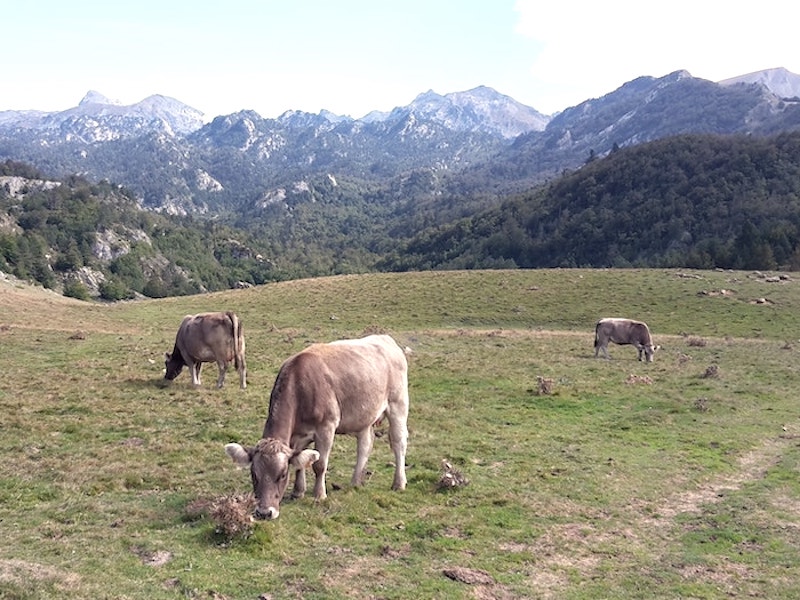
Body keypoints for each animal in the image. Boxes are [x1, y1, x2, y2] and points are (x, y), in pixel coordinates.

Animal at [227, 332, 410, 520]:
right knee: (365, 446)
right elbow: (301, 462)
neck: (300, 385)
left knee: (398, 443)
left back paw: (399, 483)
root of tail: (385, 338)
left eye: (283, 474)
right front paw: (298, 492)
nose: (264, 512)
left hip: (398, 404)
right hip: (364, 415)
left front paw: (319, 494)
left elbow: (319, 464)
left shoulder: (326, 427)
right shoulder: (297, 435)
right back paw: (355, 482)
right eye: (254, 474)